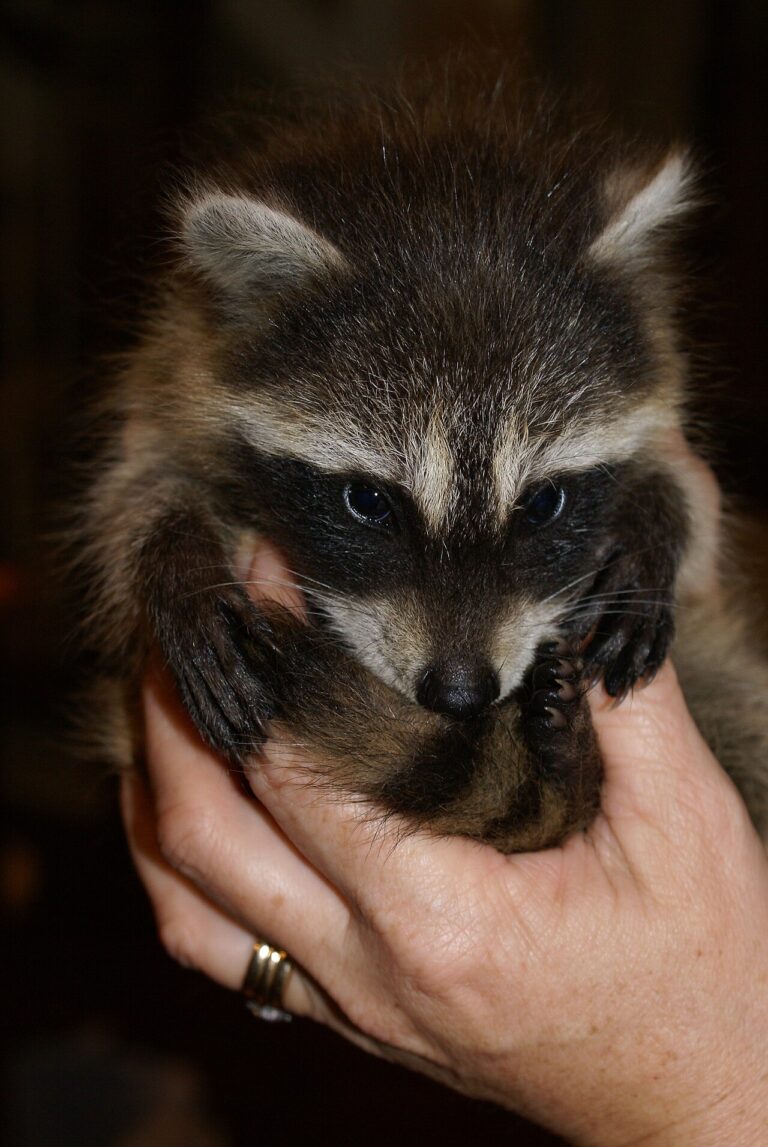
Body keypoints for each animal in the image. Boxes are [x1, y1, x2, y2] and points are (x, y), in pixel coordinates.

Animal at [77, 77, 768, 852]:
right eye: (368, 501)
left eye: (544, 503)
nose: (460, 693)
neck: (444, 186)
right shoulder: (179, 358)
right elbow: (134, 487)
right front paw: (175, 557)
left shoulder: (658, 387)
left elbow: (689, 495)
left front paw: (654, 530)